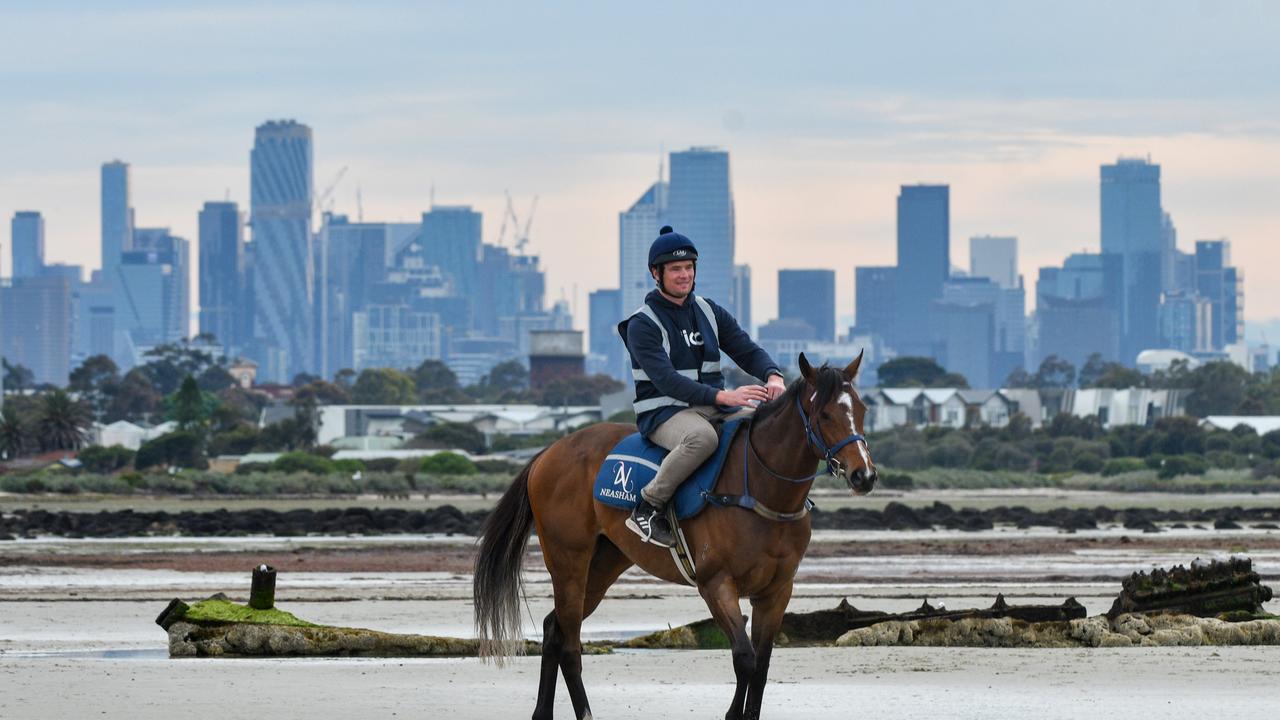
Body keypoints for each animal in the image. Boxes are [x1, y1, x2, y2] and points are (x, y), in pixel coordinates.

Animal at [476, 351, 875, 712]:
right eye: (825, 414)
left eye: (862, 410)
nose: (864, 475)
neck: (758, 489)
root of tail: (548, 452)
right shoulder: (716, 584)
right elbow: (744, 659)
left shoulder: (777, 591)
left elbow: (761, 669)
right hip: (569, 562)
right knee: (570, 645)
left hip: (604, 564)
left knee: (553, 629)